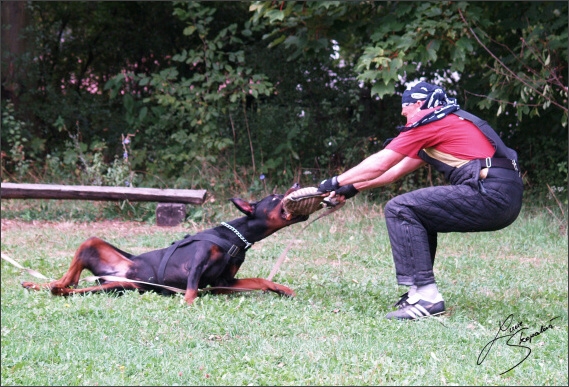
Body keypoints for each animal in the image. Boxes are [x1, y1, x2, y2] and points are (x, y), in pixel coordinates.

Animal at [21, 183, 310, 304]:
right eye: (274, 197)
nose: (296, 184)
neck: (234, 238)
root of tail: (114, 274)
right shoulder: (197, 263)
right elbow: (192, 290)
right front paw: (188, 304)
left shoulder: (222, 282)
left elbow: (260, 281)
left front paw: (282, 289)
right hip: (92, 243)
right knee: (67, 278)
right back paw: (42, 284)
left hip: (115, 287)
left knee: (72, 287)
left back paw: (51, 288)